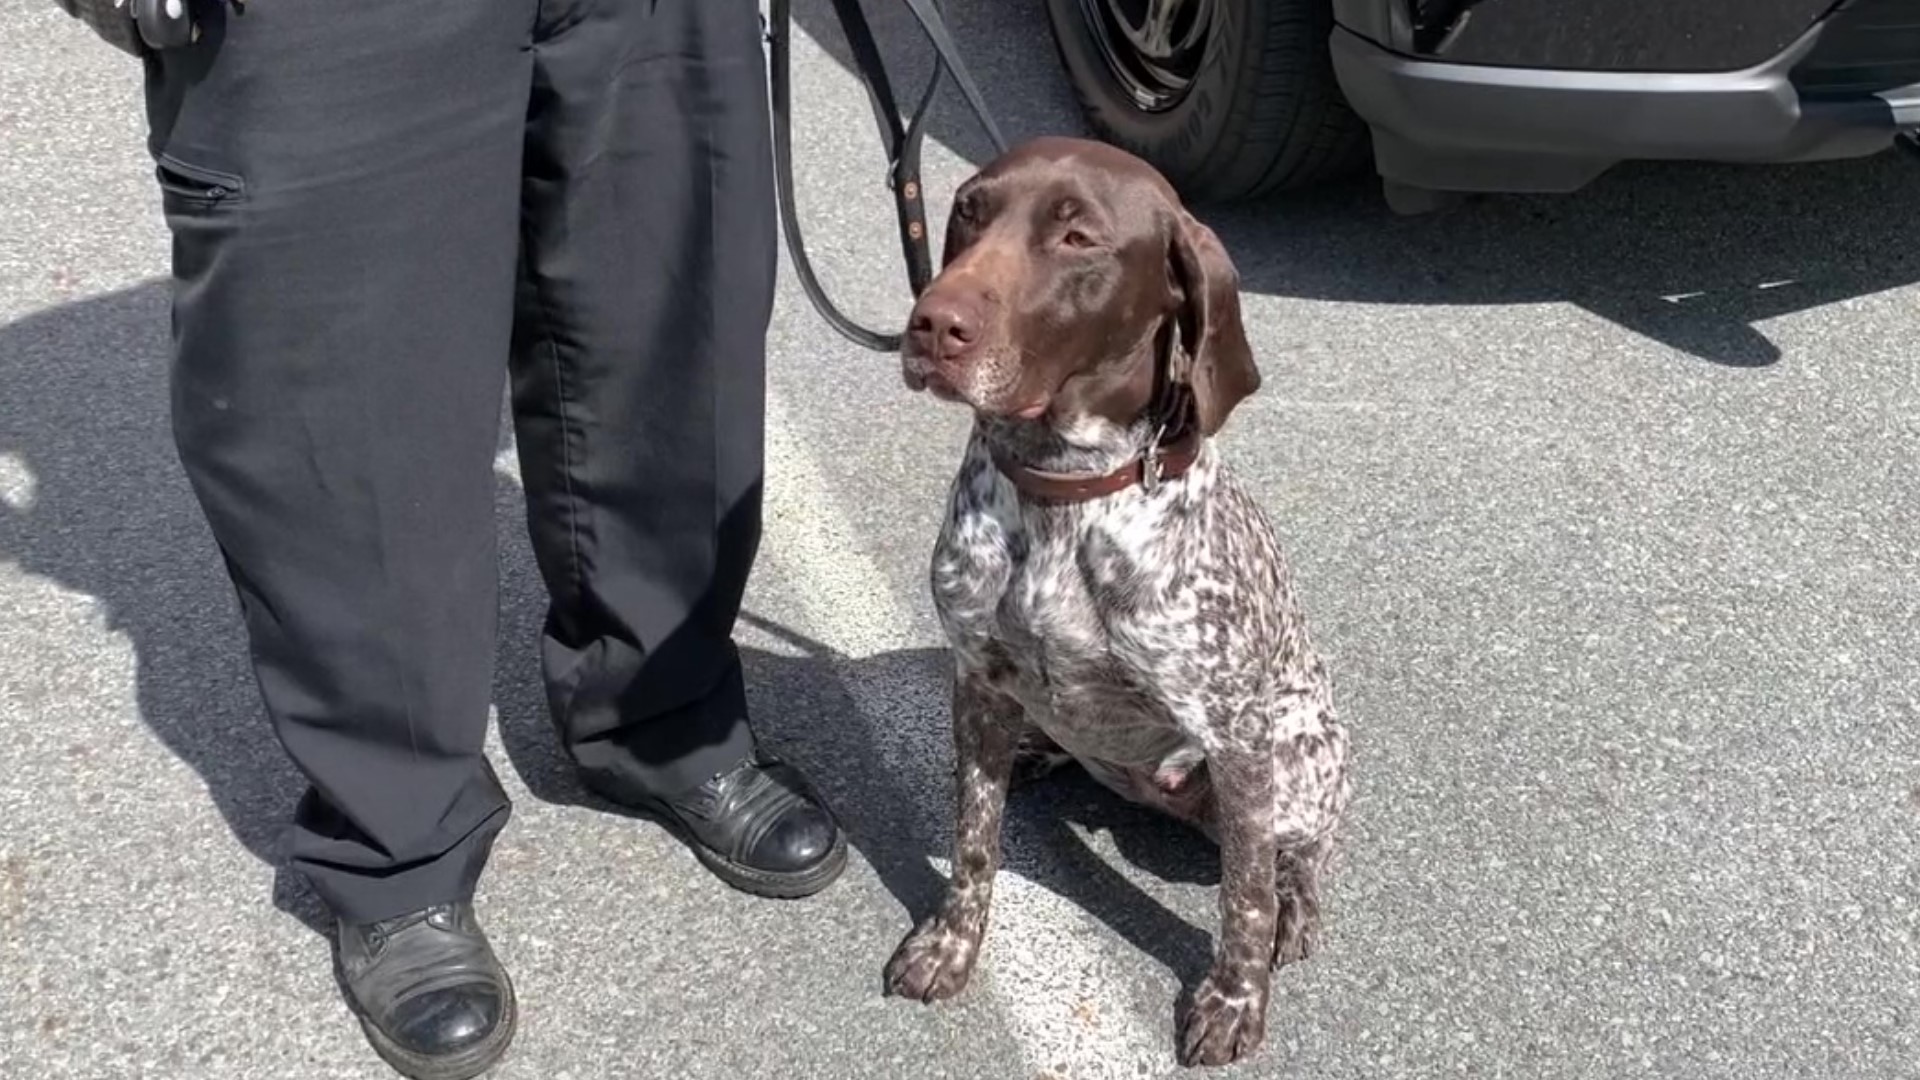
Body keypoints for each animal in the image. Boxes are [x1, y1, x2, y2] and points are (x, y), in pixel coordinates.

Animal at [883, 136, 1351, 1068]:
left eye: (1078, 239)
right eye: (971, 212)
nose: (932, 324)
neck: (1064, 491)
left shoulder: (1238, 737)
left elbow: (1244, 899)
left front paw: (1236, 999)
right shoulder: (977, 677)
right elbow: (973, 841)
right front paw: (952, 943)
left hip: (1303, 755)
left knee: (1295, 855)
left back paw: (1297, 903)